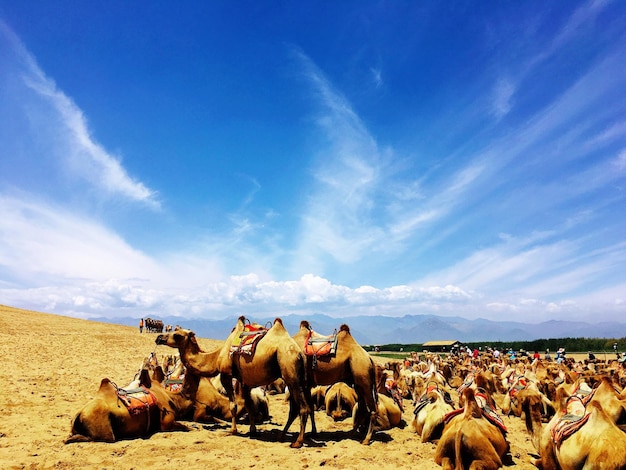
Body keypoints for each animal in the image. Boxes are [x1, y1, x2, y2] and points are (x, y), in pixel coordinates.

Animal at [154, 318, 310, 446]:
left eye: (177, 335)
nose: (159, 337)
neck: (217, 357)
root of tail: (299, 353)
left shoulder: (226, 375)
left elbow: (233, 405)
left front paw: (232, 431)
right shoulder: (244, 380)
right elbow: (249, 405)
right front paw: (253, 430)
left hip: (290, 372)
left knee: (303, 408)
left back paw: (298, 441)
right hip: (297, 378)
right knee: (295, 409)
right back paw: (282, 435)